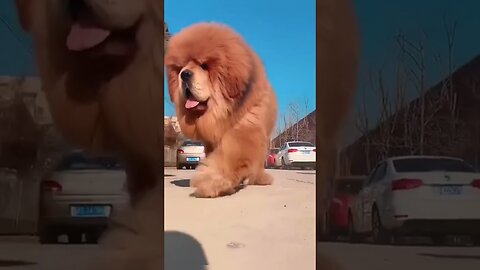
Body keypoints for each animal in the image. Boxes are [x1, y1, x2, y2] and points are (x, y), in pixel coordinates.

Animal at [165, 23, 278, 198]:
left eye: (204, 66)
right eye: (180, 68)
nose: (184, 74)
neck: (220, 113)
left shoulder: (245, 128)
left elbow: (230, 157)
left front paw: (211, 181)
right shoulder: (210, 141)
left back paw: (258, 178)